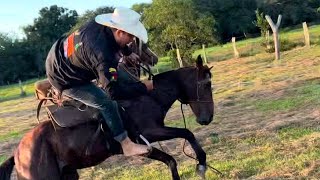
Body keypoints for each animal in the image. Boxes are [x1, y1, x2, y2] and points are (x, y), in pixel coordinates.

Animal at [0, 55, 215, 179]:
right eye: (206, 85)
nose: (207, 119)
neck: (147, 96)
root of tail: (18, 154)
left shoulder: (146, 145)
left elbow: (171, 159)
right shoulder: (149, 134)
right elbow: (186, 133)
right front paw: (201, 164)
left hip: (68, 175)